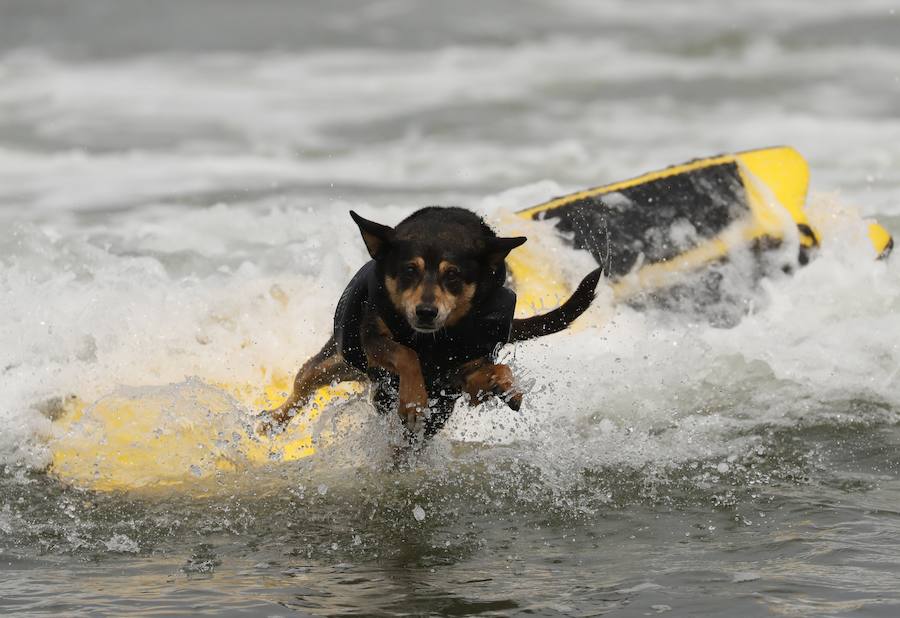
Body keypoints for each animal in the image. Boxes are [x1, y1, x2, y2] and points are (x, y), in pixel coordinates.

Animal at [260, 207, 600, 442]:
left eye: (453, 276)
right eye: (409, 270)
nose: (426, 312)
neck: (434, 341)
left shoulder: (465, 372)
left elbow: (494, 371)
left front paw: (507, 386)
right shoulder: (374, 340)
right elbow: (405, 355)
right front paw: (413, 399)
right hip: (336, 361)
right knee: (303, 383)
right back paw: (270, 422)